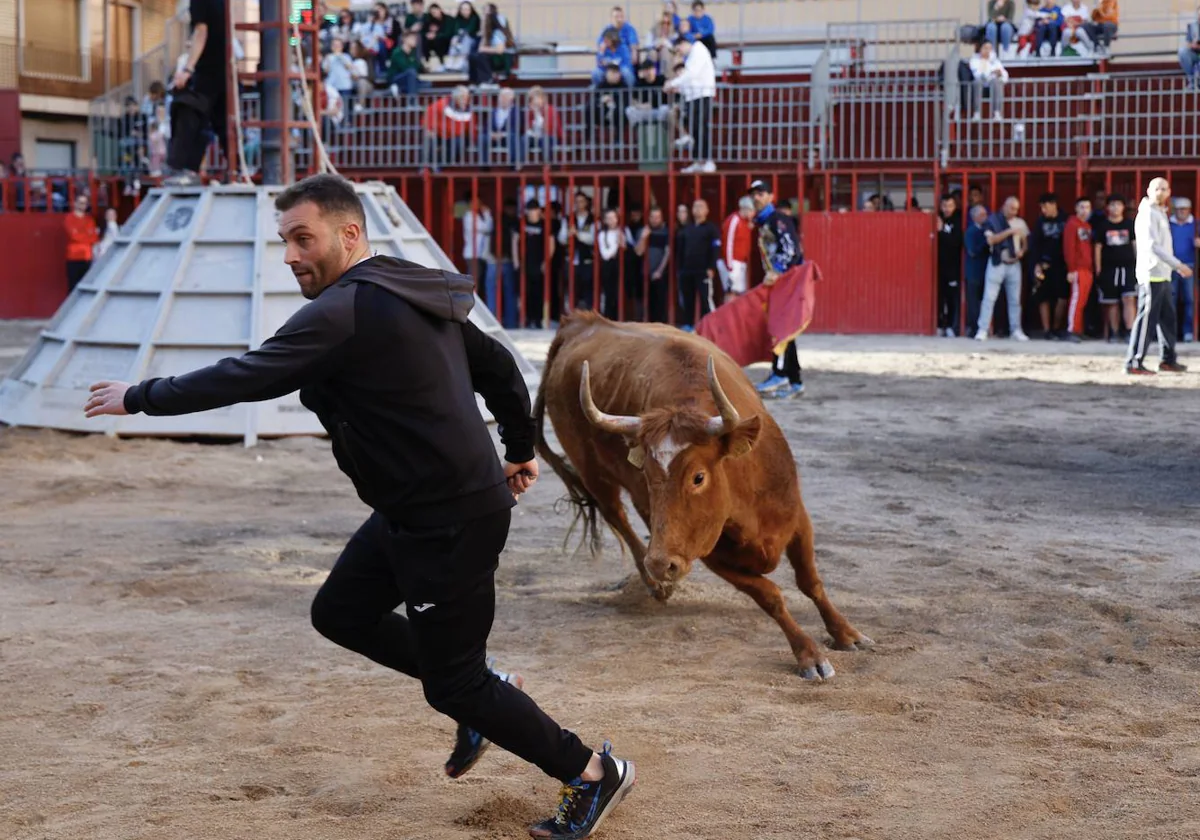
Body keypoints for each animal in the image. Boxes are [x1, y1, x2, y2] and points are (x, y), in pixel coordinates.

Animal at [537, 312, 873, 681]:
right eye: (648, 475)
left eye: (698, 477)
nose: (660, 565)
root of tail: (578, 325)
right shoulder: (711, 554)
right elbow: (770, 596)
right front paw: (809, 654)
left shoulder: (798, 520)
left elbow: (810, 581)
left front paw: (846, 634)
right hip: (592, 472)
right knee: (616, 514)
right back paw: (654, 582)